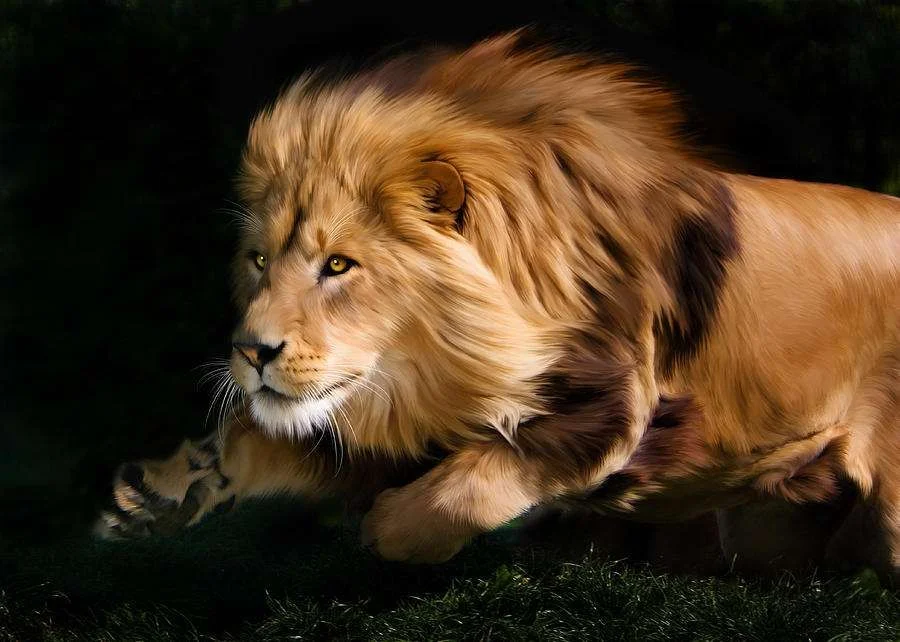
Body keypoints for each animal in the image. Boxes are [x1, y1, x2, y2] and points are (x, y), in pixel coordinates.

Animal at [95, 31, 899, 580]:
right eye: (259, 260)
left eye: (338, 265)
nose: (251, 351)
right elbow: (266, 435)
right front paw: (159, 496)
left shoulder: (612, 399)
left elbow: (474, 479)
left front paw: (387, 527)